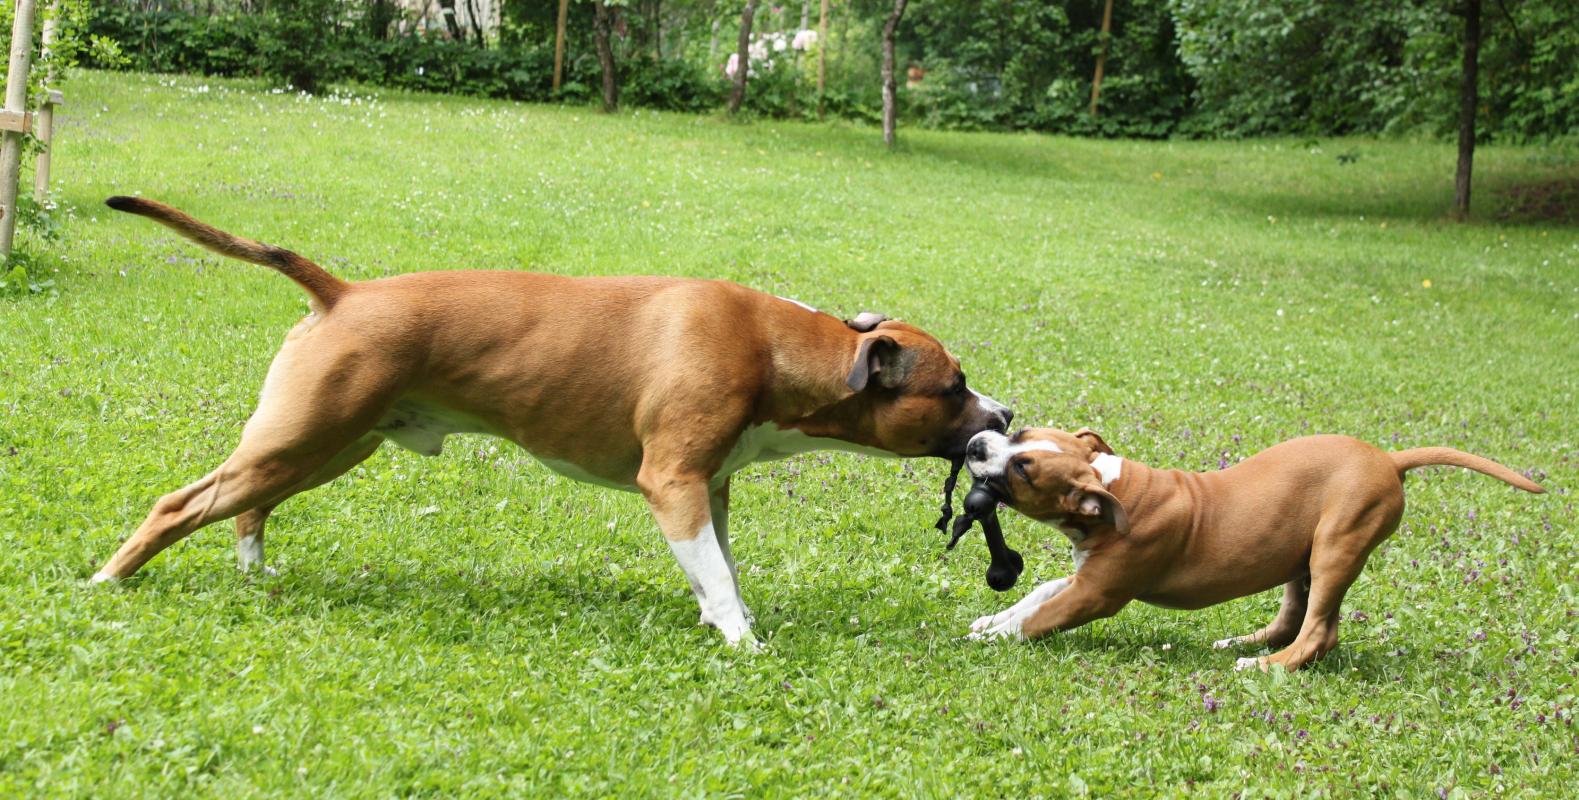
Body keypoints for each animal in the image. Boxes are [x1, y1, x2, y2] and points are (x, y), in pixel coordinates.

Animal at [91, 197, 1012, 647]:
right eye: (953, 384)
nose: (1002, 415)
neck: (777, 348)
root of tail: (343, 292)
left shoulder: (708, 490)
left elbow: (720, 568)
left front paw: (727, 621)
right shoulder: (673, 483)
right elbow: (716, 575)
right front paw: (742, 643)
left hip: (328, 445)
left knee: (247, 505)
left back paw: (251, 570)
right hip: (302, 439)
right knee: (181, 505)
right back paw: (107, 583)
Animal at [961, 427, 1543, 670]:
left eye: (1023, 469)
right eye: (1021, 433)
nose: (974, 443)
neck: (1112, 490)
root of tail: (1388, 459)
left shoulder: (1096, 594)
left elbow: (1040, 617)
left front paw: (995, 638)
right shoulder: (1080, 576)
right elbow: (1035, 595)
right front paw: (991, 622)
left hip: (1337, 545)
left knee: (1319, 632)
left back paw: (1266, 667)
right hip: (1301, 555)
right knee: (1292, 619)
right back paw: (1241, 645)